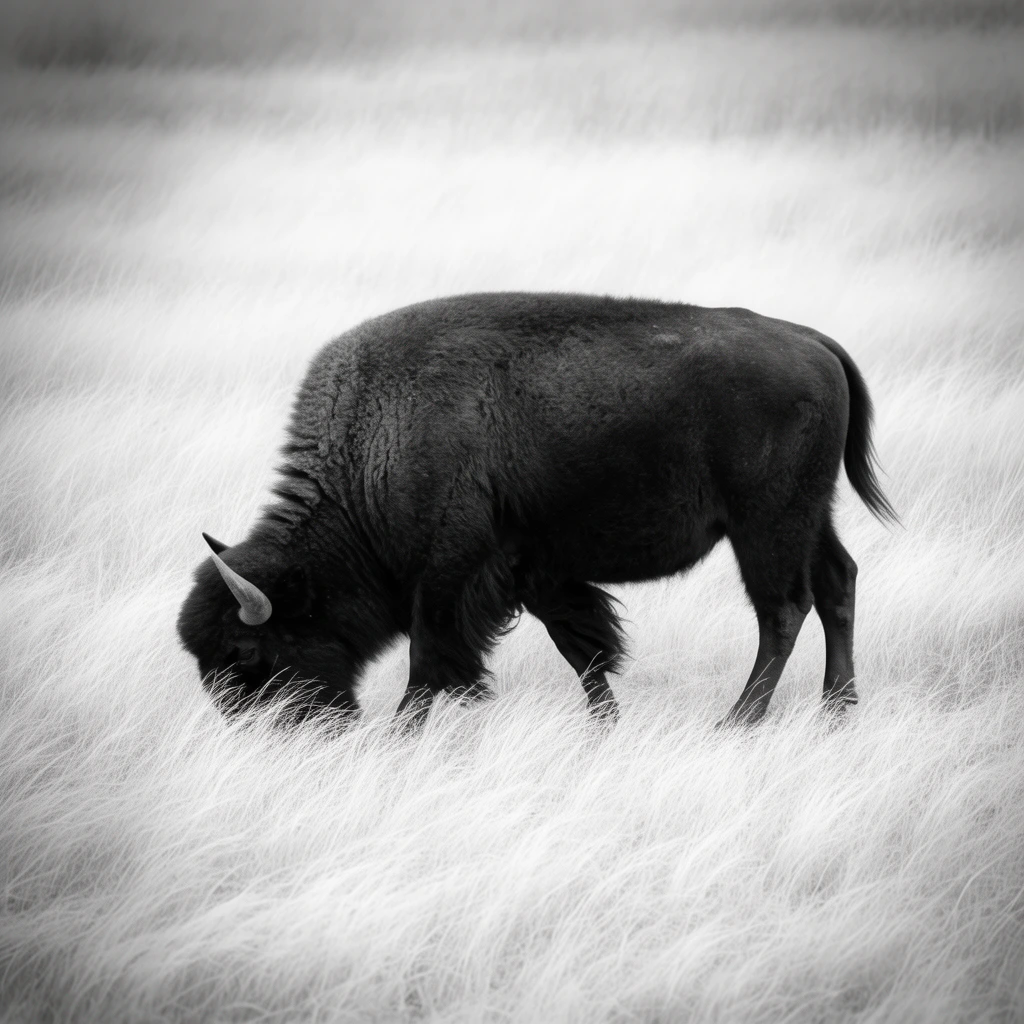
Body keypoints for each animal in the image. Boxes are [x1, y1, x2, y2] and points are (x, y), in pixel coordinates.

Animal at [177, 292, 896, 727]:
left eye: (247, 649)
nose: (274, 733)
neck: (377, 444)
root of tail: (812, 341)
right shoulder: (537, 571)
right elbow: (584, 650)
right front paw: (604, 726)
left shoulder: (449, 578)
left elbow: (430, 662)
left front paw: (404, 734)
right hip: (811, 516)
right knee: (838, 583)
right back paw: (838, 710)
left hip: (766, 523)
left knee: (783, 610)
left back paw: (739, 720)